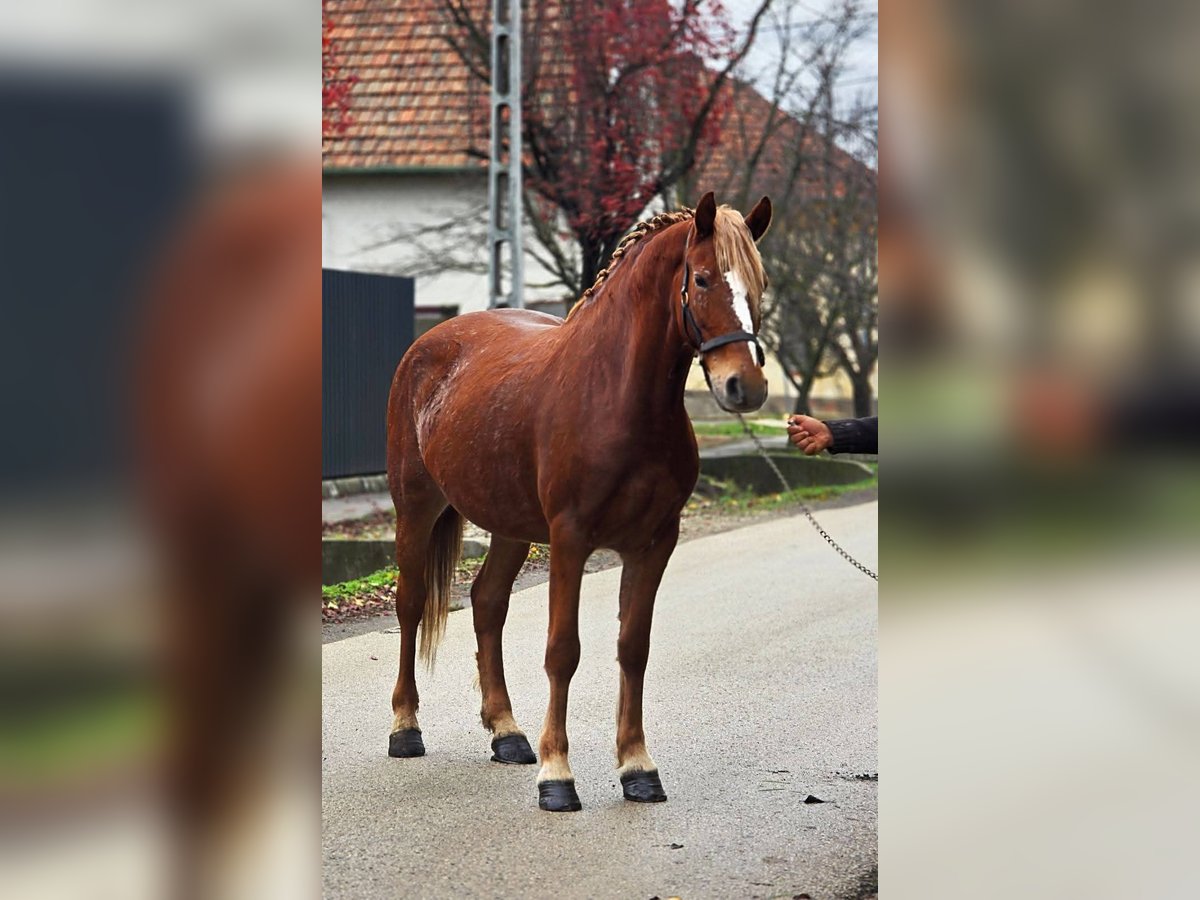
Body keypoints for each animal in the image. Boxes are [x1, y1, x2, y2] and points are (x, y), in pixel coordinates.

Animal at [385, 191, 772, 812]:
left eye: (759, 283)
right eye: (703, 278)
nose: (746, 386)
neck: (617, 396)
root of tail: (428, 345)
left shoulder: (654, 542)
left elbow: (633, 646)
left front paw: (637, 767)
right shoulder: (570, 539)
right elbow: (562, 650)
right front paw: (557, 776)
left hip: (509, 524)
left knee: (487, 602)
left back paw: (508, 733)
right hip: (416, 510)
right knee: (412, 603)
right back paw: (405, 727)